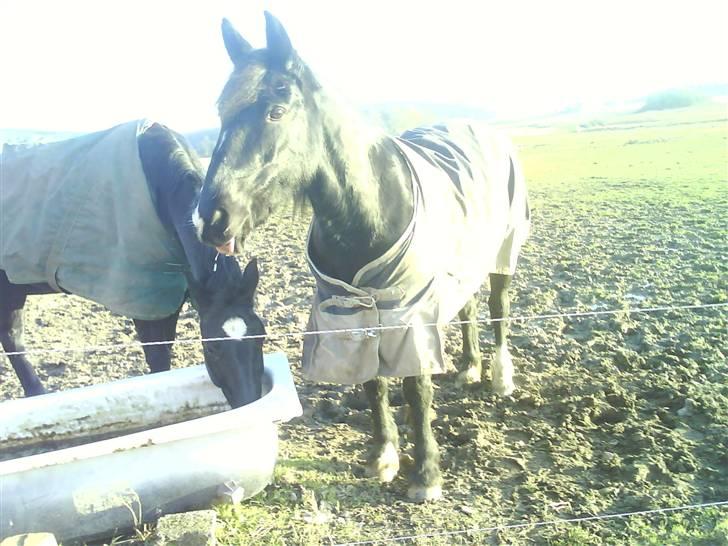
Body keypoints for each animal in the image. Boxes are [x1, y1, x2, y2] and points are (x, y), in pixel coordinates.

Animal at [0, 120, 265, 408]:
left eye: (261, 335)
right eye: (212, 346)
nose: (250, 401)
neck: (158, 183)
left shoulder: (169, 297)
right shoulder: (146, 304)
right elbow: (158, 360)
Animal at [194, 13, 530, 501]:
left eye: (276, 111)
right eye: (222, 113)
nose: (211, 220)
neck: (369, 213)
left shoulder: (409, 314)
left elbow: (416, 386)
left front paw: (425, 475)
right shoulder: (352, 312)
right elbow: (373, 381)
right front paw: (383, 457)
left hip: (503, 249)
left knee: (497, 306)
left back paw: (501, 378)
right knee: (467, 306)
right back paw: (469, 369)